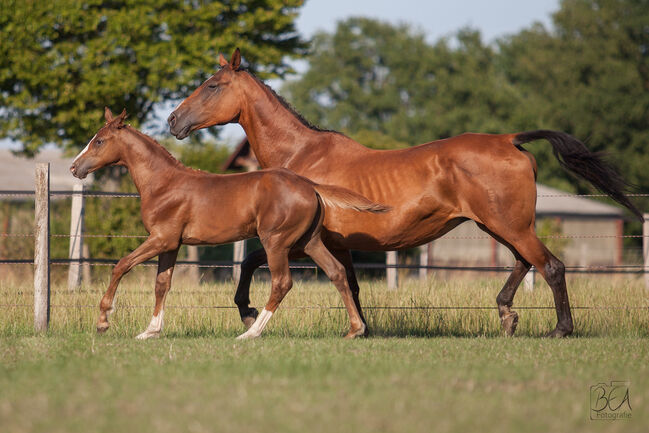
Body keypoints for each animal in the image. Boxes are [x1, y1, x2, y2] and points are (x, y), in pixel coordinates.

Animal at [69, 107, 390, 338]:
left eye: (99, 141)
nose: (74, 167)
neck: (163, 183)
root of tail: (310, 186)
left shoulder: (161, 239)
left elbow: (121, 265)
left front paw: (103, 321)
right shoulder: (171, 244)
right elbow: (162, 284)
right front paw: (150, 331)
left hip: (276, 242)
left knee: (282, 282)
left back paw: (252, 332)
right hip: (308, 242)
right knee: (337, 272)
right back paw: (355, 329)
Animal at [166, 49, 636, 336]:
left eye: (212, 86)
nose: (173, 121)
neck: (302, 156)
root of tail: (509, 139)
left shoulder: (294, 240)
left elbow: (249, 262)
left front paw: (246, 311)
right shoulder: (338, 244)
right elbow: (351, 286)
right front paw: (362, 328)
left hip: (509, 225)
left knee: (551, 266)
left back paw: (559, 329)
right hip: (499, 225)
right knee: (524, 263)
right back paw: (506, 314)